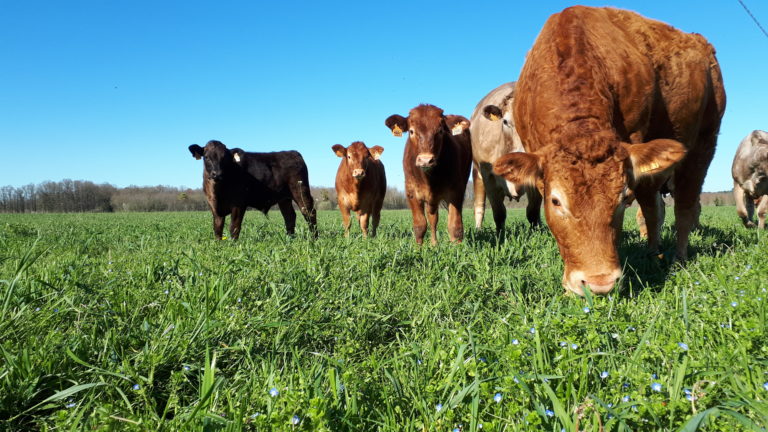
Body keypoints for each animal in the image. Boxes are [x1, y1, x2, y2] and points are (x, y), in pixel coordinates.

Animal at [188, 140, 318, 240]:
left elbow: (234, 227)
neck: (218, 192)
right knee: (289, 216)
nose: (217, 174)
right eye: (206, 157)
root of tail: (293, 152)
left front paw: (232, 245)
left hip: (301, 191)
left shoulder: (239, 204)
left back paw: (314, 239)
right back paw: (290, 238)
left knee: (309, 213)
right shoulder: (214, 206)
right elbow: (217, 228)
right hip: (284, 199)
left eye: (225, 158)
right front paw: (218, 245)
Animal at [385, 104, 472, 245]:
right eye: (411, 131)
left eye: (440, 131)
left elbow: (455, 225)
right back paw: (434, 244)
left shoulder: (456, 191)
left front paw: (457, 248)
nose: (426, 160)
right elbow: (420, 225)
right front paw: (418, 248)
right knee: (433, 219)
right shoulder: (411, 192)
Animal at [470, 82, 539, 233]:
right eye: (505, 121)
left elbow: (533, 211)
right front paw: (500, 234)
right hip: (477, 173)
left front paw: (537, 231)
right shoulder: (488, 175)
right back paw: (478, 229)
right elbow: (499, 212)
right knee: (479, 206)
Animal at [492, 6, 726, 296]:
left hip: (704, 142)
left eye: (622, 198)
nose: (599, 284)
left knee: (682, 205)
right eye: (555, 201)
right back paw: (653, 254)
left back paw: (677, 259)